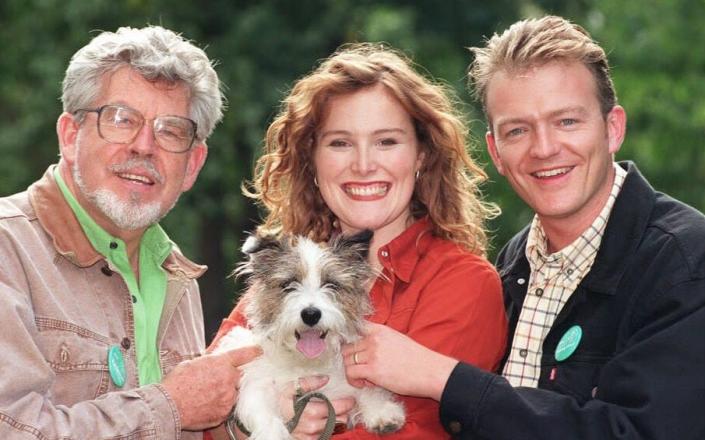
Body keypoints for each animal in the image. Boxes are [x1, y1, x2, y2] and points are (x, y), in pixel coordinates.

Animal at [212, 232, 404, 438]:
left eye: (331, 284)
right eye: (288, 284)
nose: (311, 314)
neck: (306, 362)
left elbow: (367, 390)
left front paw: (382, 412)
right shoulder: (257, 382)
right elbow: (264, 414)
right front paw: (273, 434)